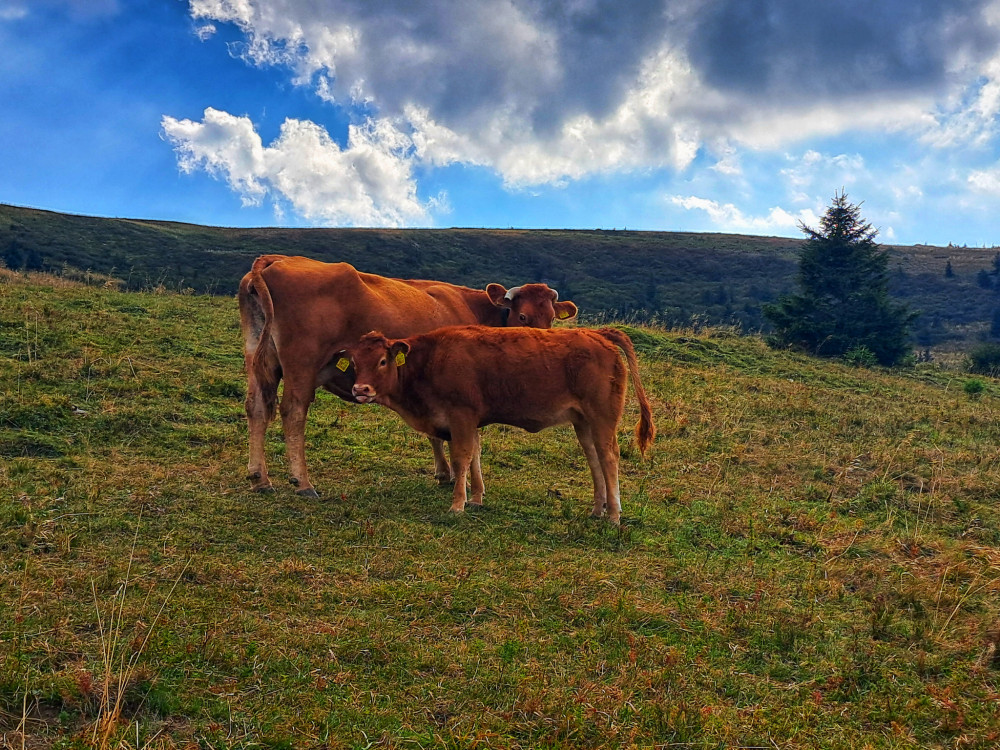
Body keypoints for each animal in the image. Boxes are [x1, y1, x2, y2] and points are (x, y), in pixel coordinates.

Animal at [236, 256, 580, 496]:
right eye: (522, 316)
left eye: (551, 318)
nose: (543, 344)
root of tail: (273, 259)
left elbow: (435, 431)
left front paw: (444, 473)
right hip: (302, 365)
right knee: (293, 412)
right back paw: (303, 482)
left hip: (258, 359)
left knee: (256, 407)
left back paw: (259, 478)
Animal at [344, 326, 656, 524]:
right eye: (354, 363)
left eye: (382, 361)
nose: (360, 389)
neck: (430, 360)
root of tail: (597, 334)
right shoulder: (470, 421)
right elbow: (475, 456)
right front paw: (476, 498)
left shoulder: (461, 416)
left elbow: (461, 458)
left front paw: (457, 504)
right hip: (583, 422)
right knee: (594, 459)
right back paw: (597, 509)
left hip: (602, 417)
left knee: (609, 457)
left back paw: (613, 515)